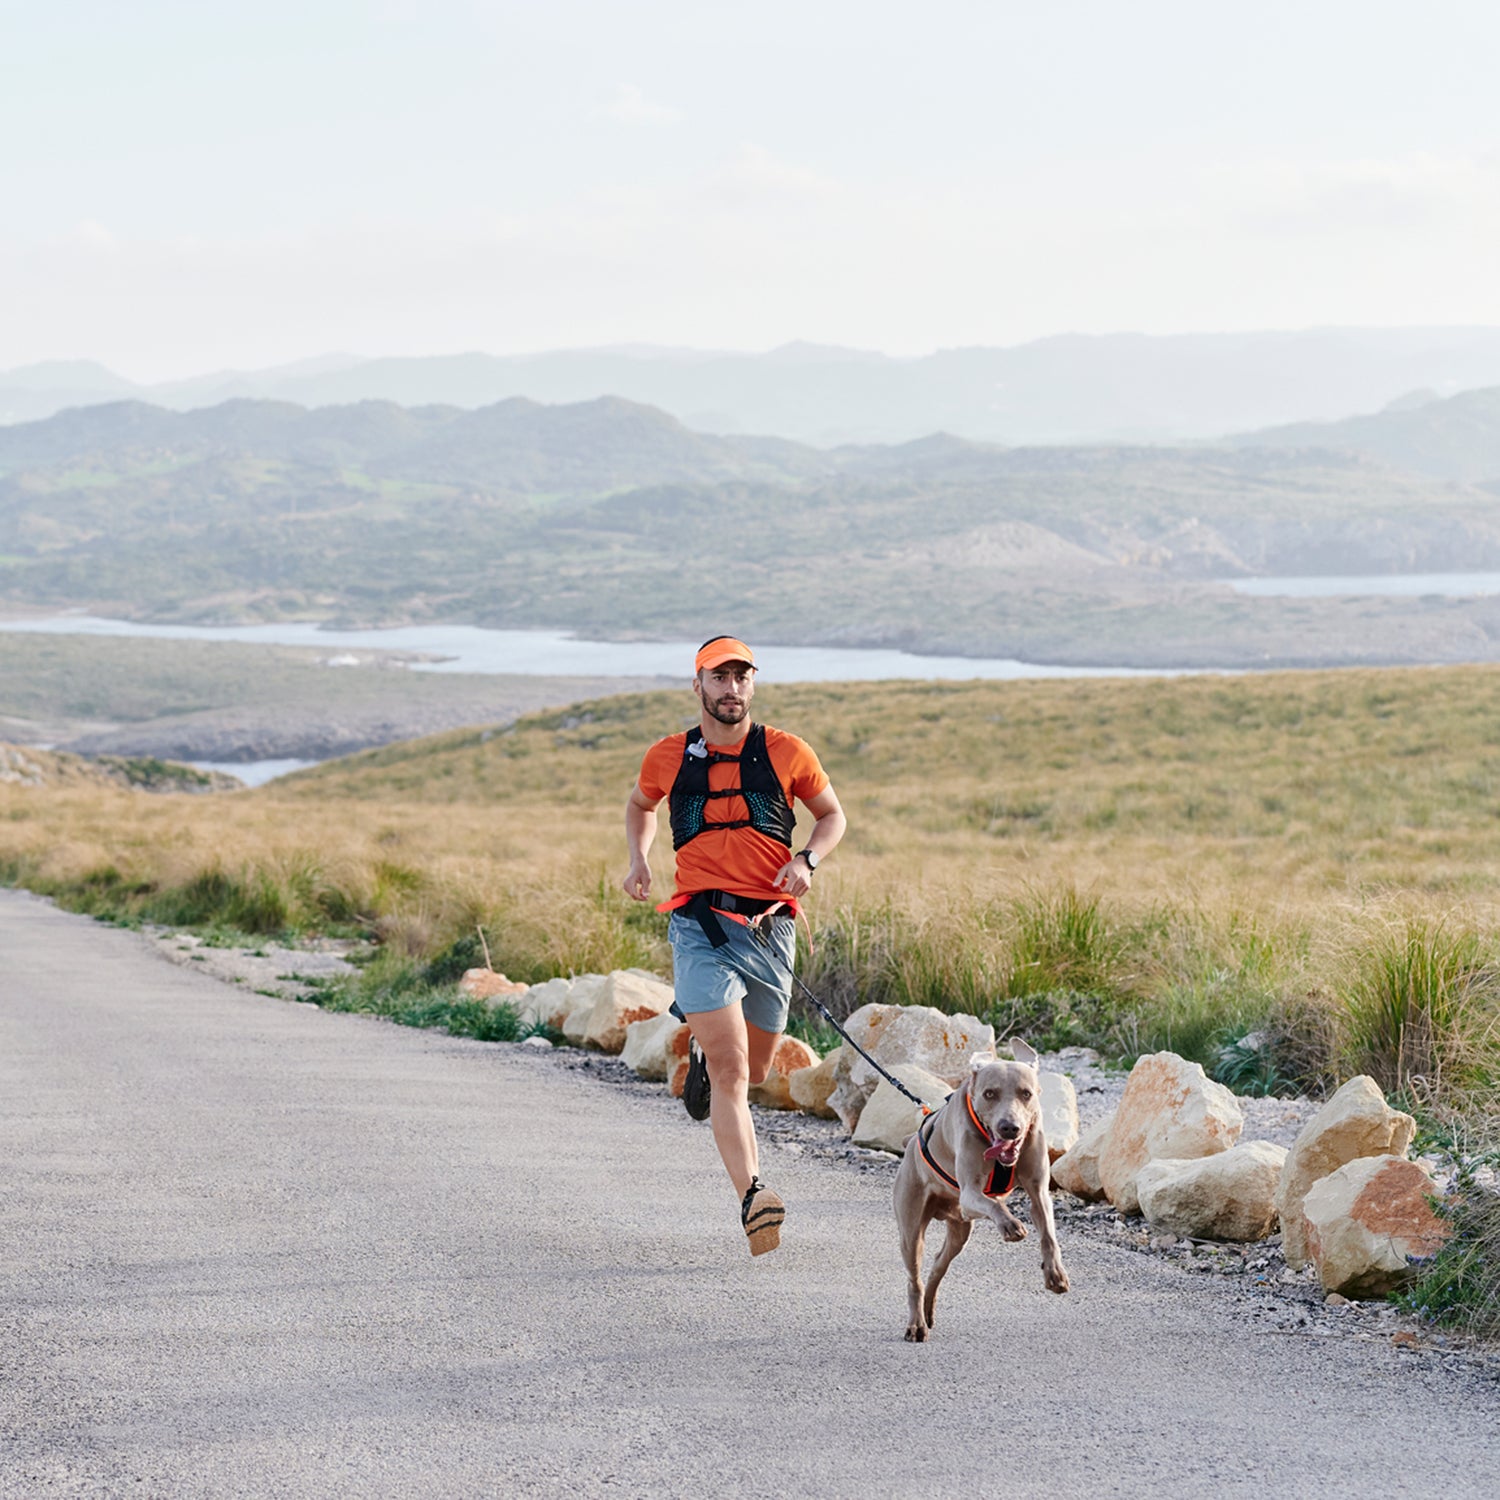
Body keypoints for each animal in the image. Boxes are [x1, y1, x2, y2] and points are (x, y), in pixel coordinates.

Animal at [888, 1038, 1068, 1344]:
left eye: (1026, 1093)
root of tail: (910, 1141)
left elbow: (1048, 1233)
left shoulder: (1039, 1191)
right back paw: (916, 1324)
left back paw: (928, 1308)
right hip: (911, 1226)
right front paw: (1010, 1224)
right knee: (915, 1278)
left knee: (938, 1265)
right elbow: (994, 1204)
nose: (1010, 1127)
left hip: (960, 1230)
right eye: (989, 1093)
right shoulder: (970, 1194)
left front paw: (1055, 1273)